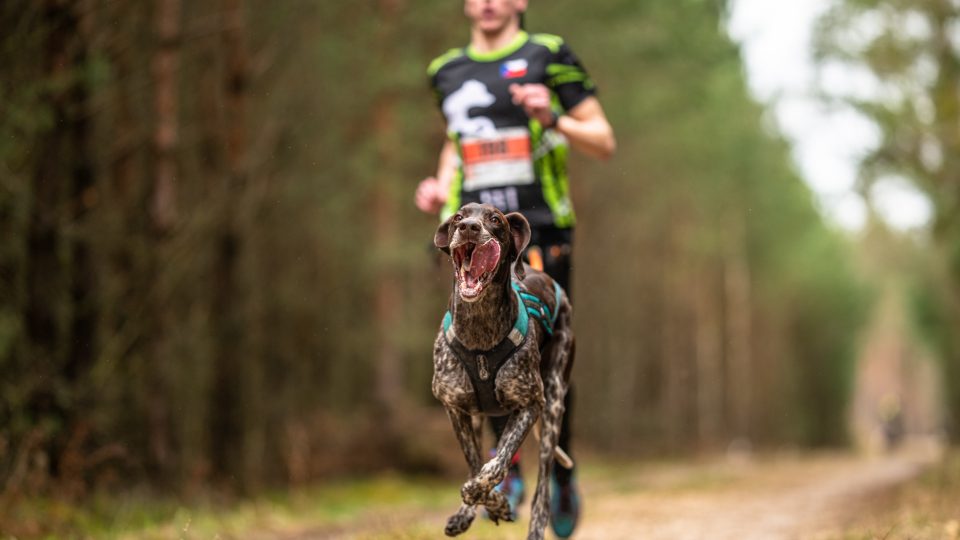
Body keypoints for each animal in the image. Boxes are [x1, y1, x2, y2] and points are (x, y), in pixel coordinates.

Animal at [432, 204, 572, 540]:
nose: (469, 227)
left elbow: (498, 463)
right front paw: (485, 505)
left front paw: (479, 490)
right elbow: (475, 463)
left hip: (553, 408)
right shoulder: (455, 408)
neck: (478, 327)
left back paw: (537, 525)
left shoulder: (531, 404)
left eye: (495, 219)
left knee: (542, 491)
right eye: (458, 217)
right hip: (480, 416)